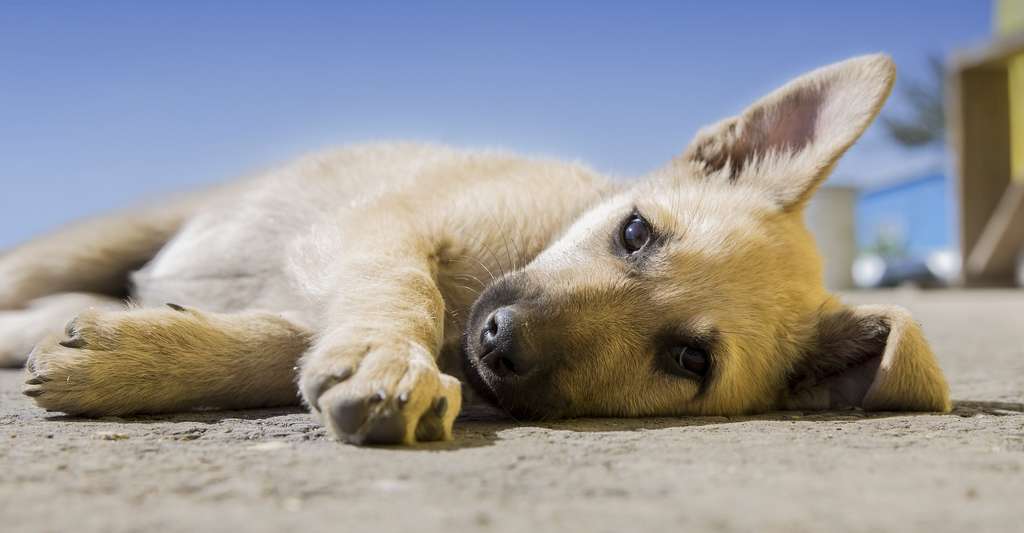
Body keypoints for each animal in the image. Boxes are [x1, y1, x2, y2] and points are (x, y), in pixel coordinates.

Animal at [4, 53, 954, 443]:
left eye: (689, 359)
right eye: (635, 231)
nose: (498, 342)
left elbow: (284, 344)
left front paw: (134, 356)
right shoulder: (380, 224)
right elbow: (403, 293)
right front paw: (389, 359)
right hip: (94, 240)